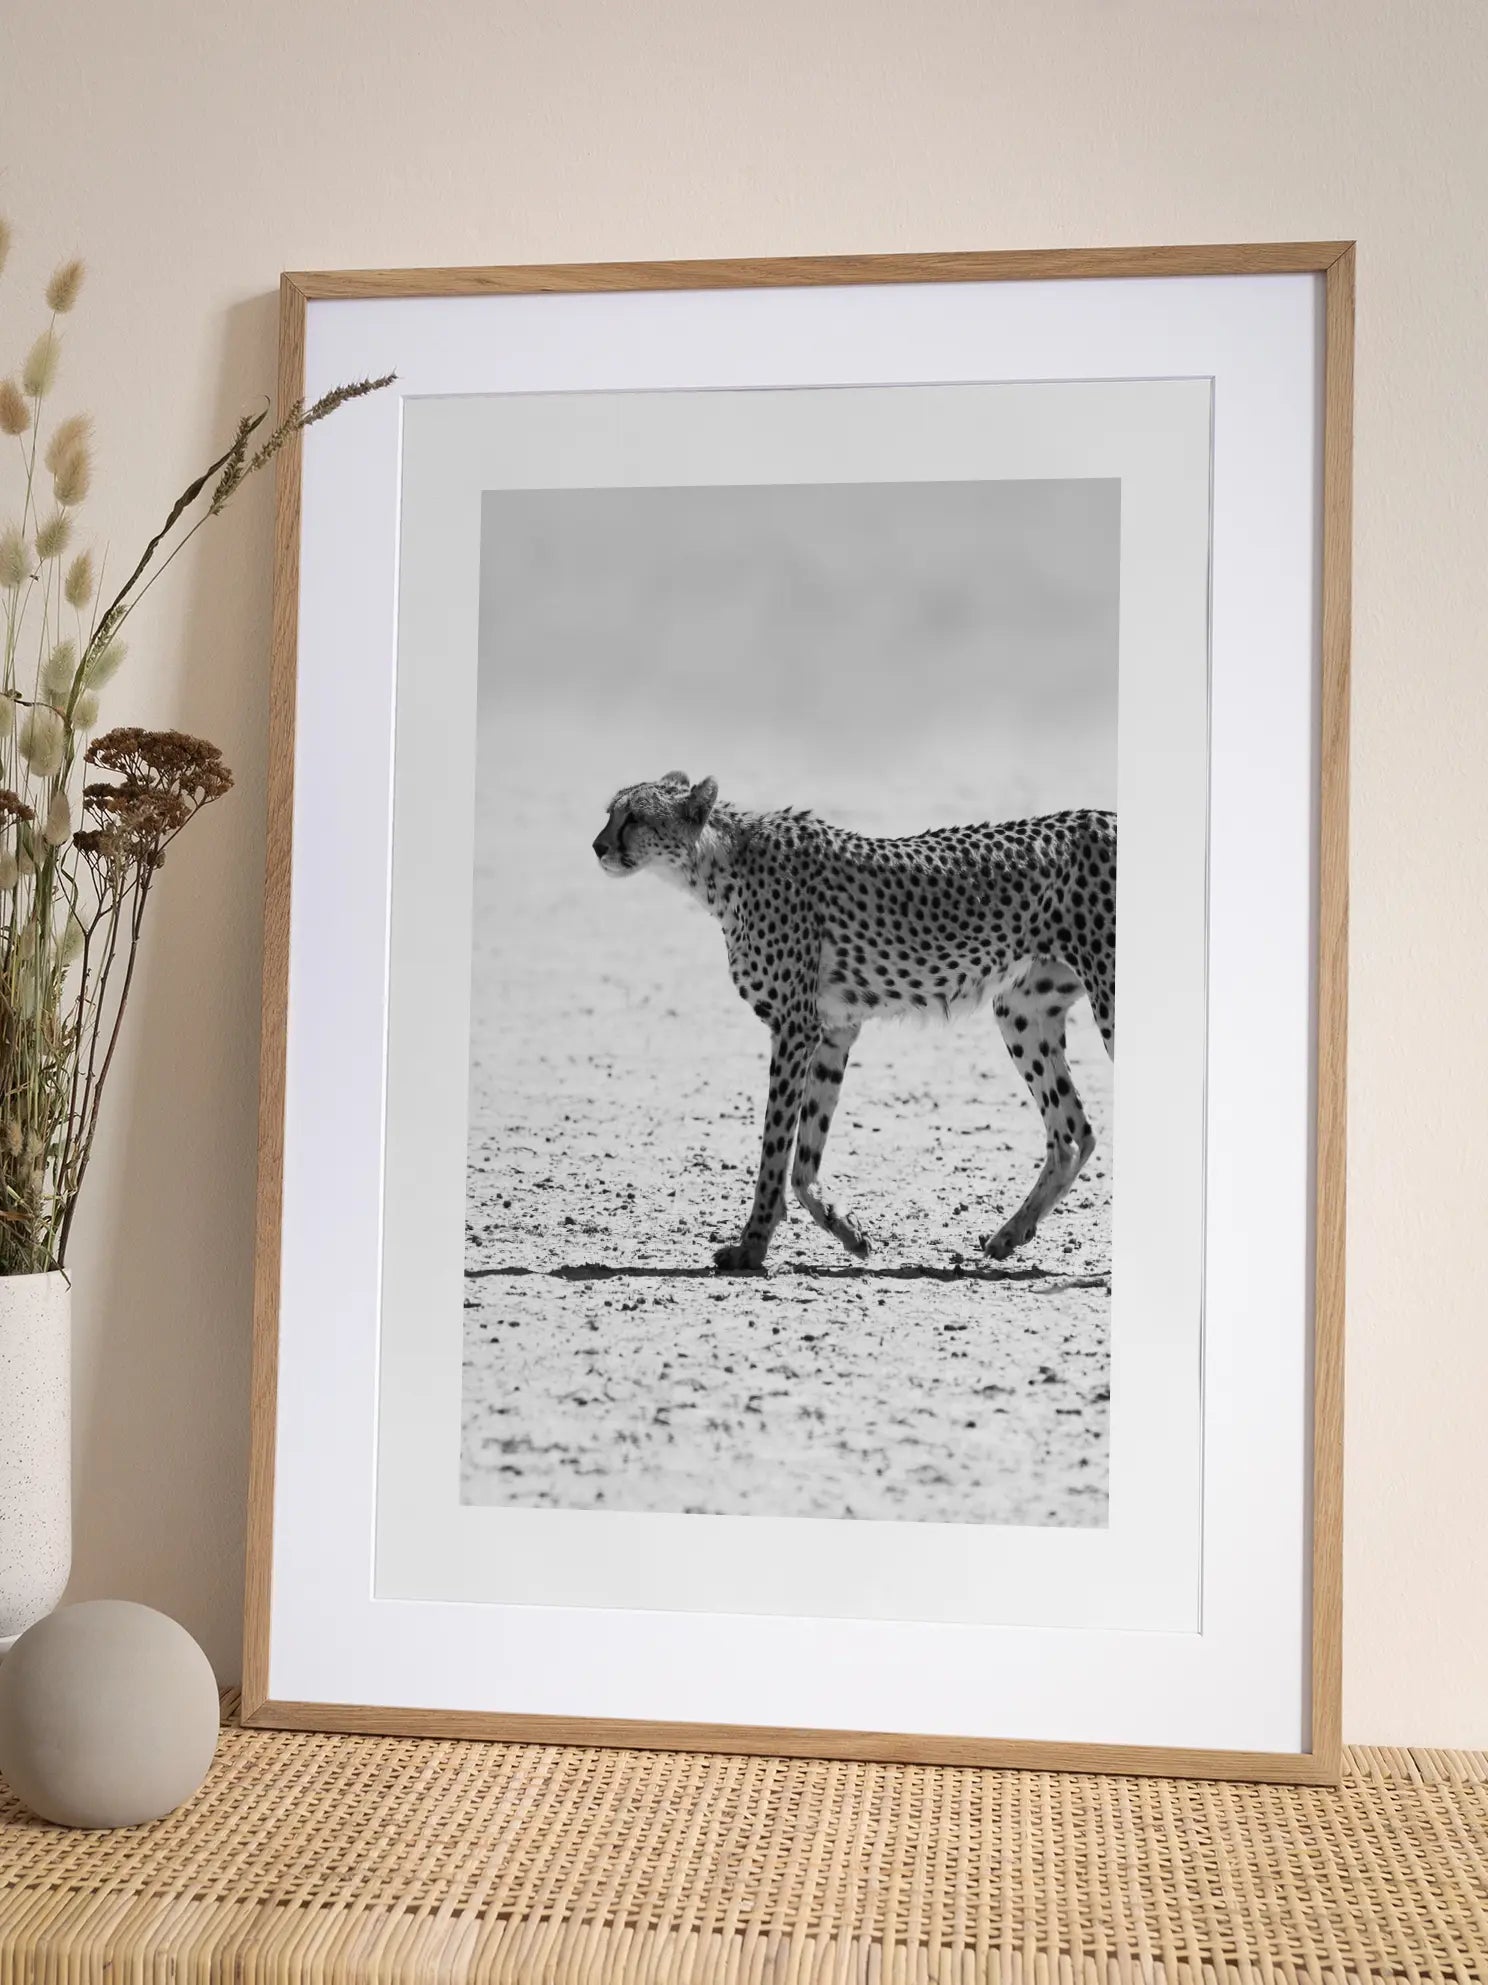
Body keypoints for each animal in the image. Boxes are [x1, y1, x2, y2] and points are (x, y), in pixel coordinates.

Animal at [592, 771, 1116, 1273]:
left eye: (634, 817)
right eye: (610, 813)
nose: (597, 847)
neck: (719, 863)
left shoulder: (794, 1026)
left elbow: (774, 1147)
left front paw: (752, 1246)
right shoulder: (833, 1030)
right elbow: (804, 1156)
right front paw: (846, 1229)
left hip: (1106, 999)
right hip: (1021, 1010)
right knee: (1074, 1133)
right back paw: (1010, 1234)